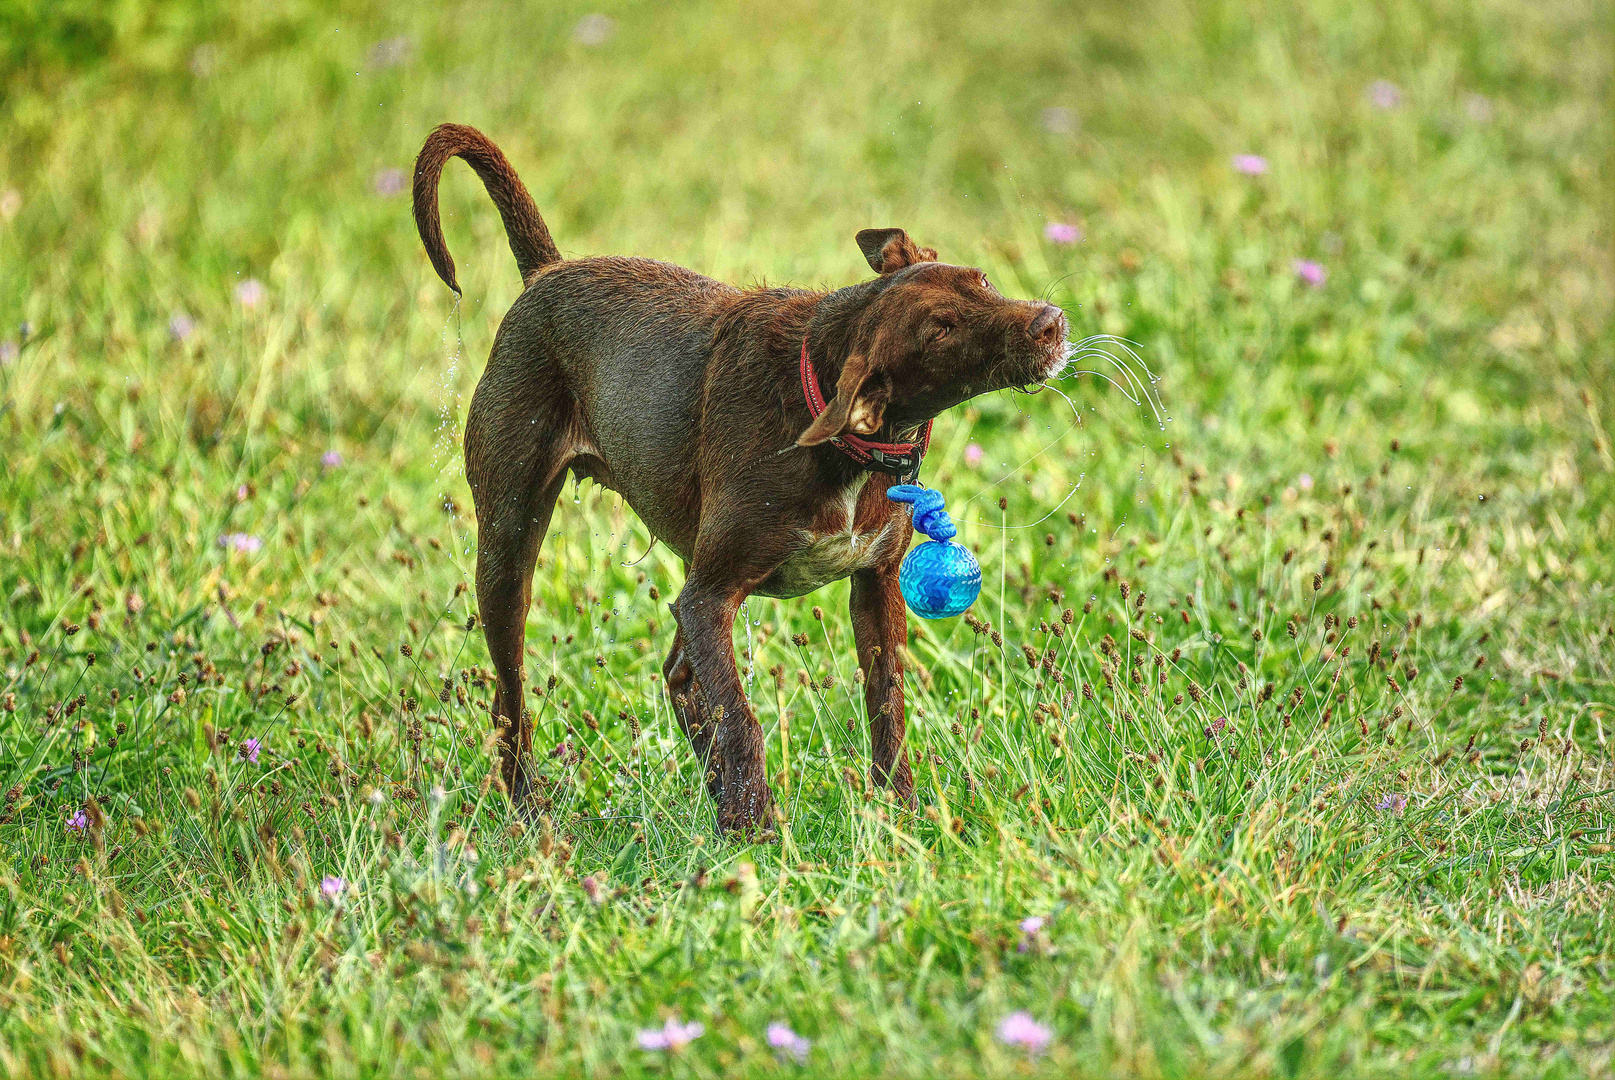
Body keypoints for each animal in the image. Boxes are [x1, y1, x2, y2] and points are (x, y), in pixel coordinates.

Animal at [410, 126, 1065, 833]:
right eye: (941, 331)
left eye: (983, 280)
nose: (1051, 323)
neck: (829, 414)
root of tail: (547, 273)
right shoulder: (711, 595)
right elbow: (741, 715)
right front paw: (758, 829)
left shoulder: (874, 583)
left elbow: (885, 701)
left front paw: (900, 812)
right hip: (510, 545)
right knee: (513, 698)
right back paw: (536, 812)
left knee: (679, 677)